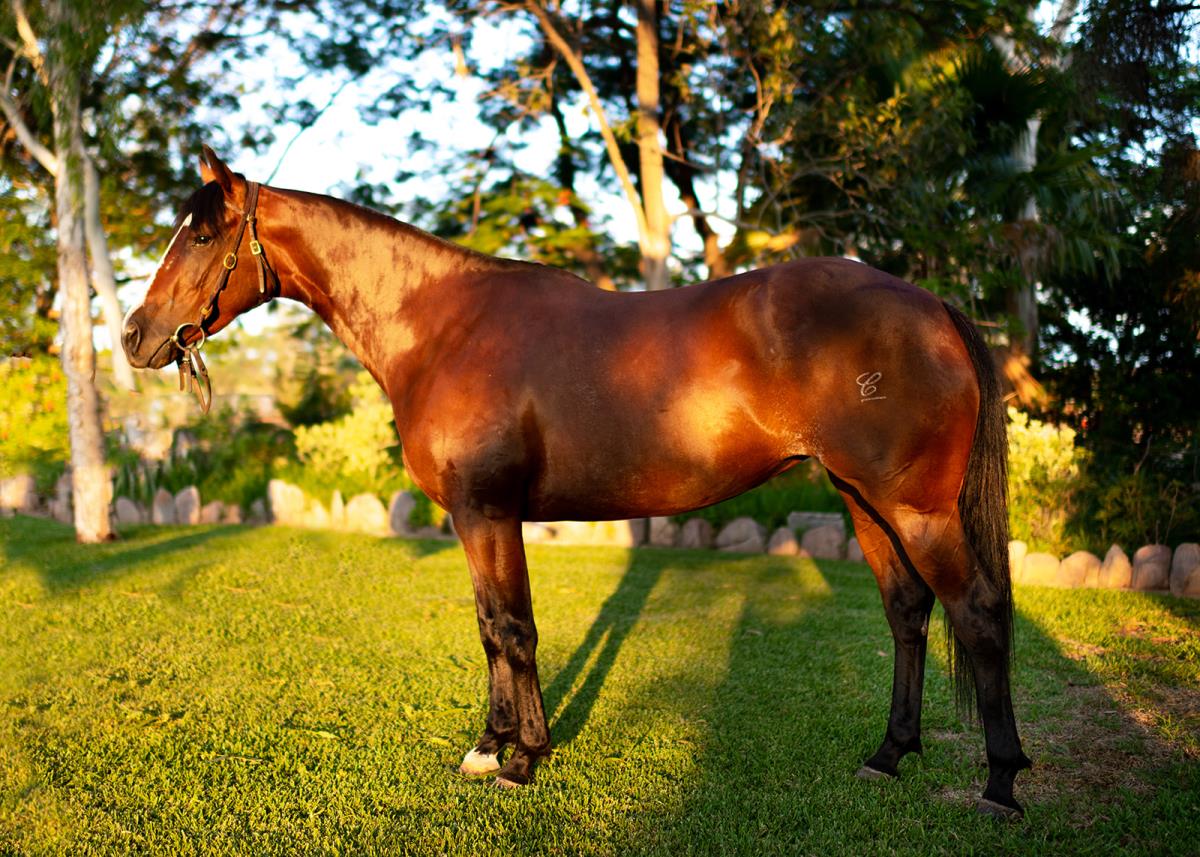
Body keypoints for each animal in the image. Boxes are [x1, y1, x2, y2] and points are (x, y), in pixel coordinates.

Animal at [122, 147, 1030, 817]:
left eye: (200, 237)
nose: (134, 335)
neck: (443, 326)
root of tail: (931, 306)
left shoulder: (489, 511)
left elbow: (514, 628)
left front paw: (524, 758)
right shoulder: (473, 518)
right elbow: (490, 627)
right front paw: (487, 746)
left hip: (917, 508)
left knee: (979, 612)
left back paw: (1000, 783)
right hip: (861, 499)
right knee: (907, 611)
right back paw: (888, 755)